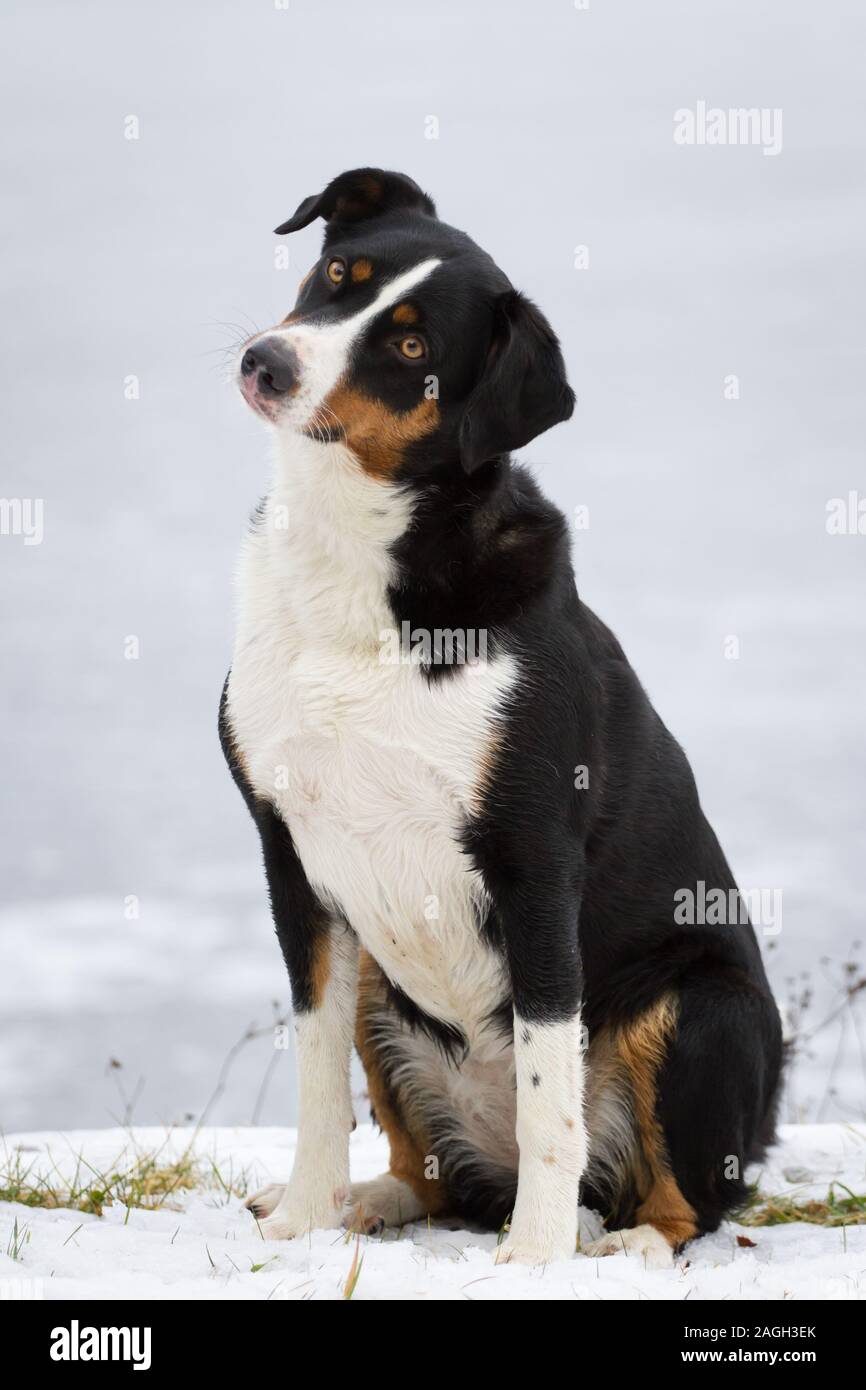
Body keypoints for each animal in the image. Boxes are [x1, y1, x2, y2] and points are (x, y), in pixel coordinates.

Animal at [218, 168, 783, 1267]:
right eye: (337, 275)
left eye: (409, 350)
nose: (266, 362)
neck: (359, 571)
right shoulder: (290, 852)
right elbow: (315, 1079)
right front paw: (304, 1220)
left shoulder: (531, 859)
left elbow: (546, 1092)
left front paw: (533, 1259)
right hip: (380, 978)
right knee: (426, 1169)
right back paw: (368, 1201)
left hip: (704, 1006)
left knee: (686, 1198)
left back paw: (618, 1243)